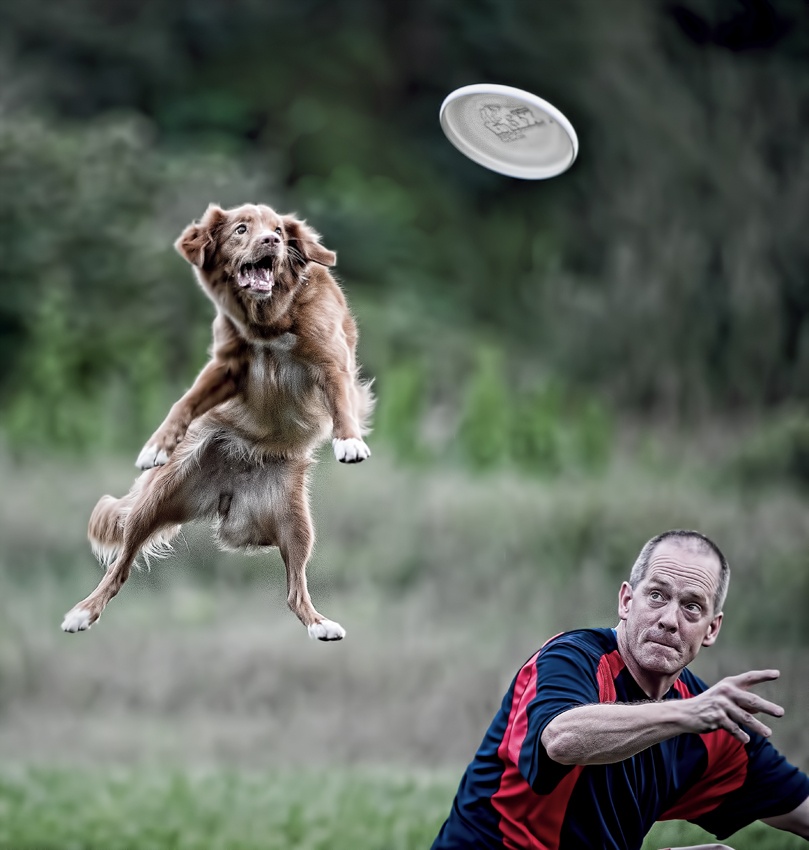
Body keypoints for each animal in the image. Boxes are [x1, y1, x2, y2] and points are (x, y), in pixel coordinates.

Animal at [61, 203, 373, 640]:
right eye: (242, 229)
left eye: (279, 230)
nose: (271, 241)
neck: (268, 320)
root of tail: (228, 498)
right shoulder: (225, 368)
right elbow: (185, 401)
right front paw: (156, 444)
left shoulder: (331, 360)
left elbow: (342, 399)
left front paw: (349, 441)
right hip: (155, 501)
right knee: (120, 567)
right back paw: (82, 612)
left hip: (297, 525)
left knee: (294, 589)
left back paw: (321, 625)